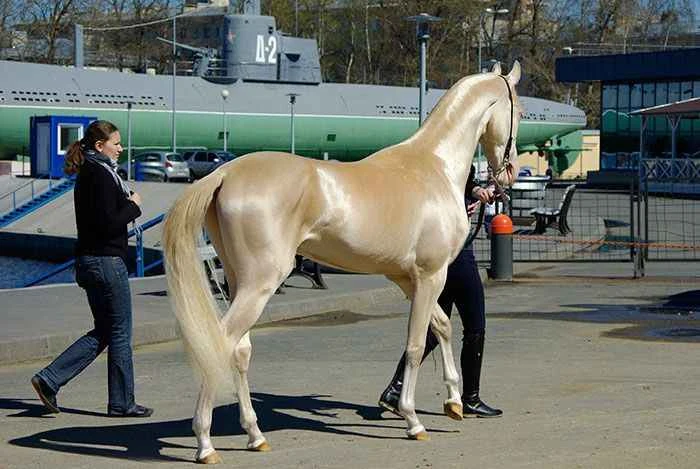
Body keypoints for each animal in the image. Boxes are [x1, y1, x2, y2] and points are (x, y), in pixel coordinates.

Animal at [162, 61, 521, 464]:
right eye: (519, 111)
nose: (509, 172)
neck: (433, 167)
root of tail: (225, 173)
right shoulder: (431, 276)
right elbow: (415, 345)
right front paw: (413, 420)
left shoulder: (408, 279)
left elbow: (441, 327)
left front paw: (455, 401)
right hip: (259, 285)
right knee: (219, 345)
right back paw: (205, 444)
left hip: (241, 283)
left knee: (240, 351)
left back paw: (255, 435)